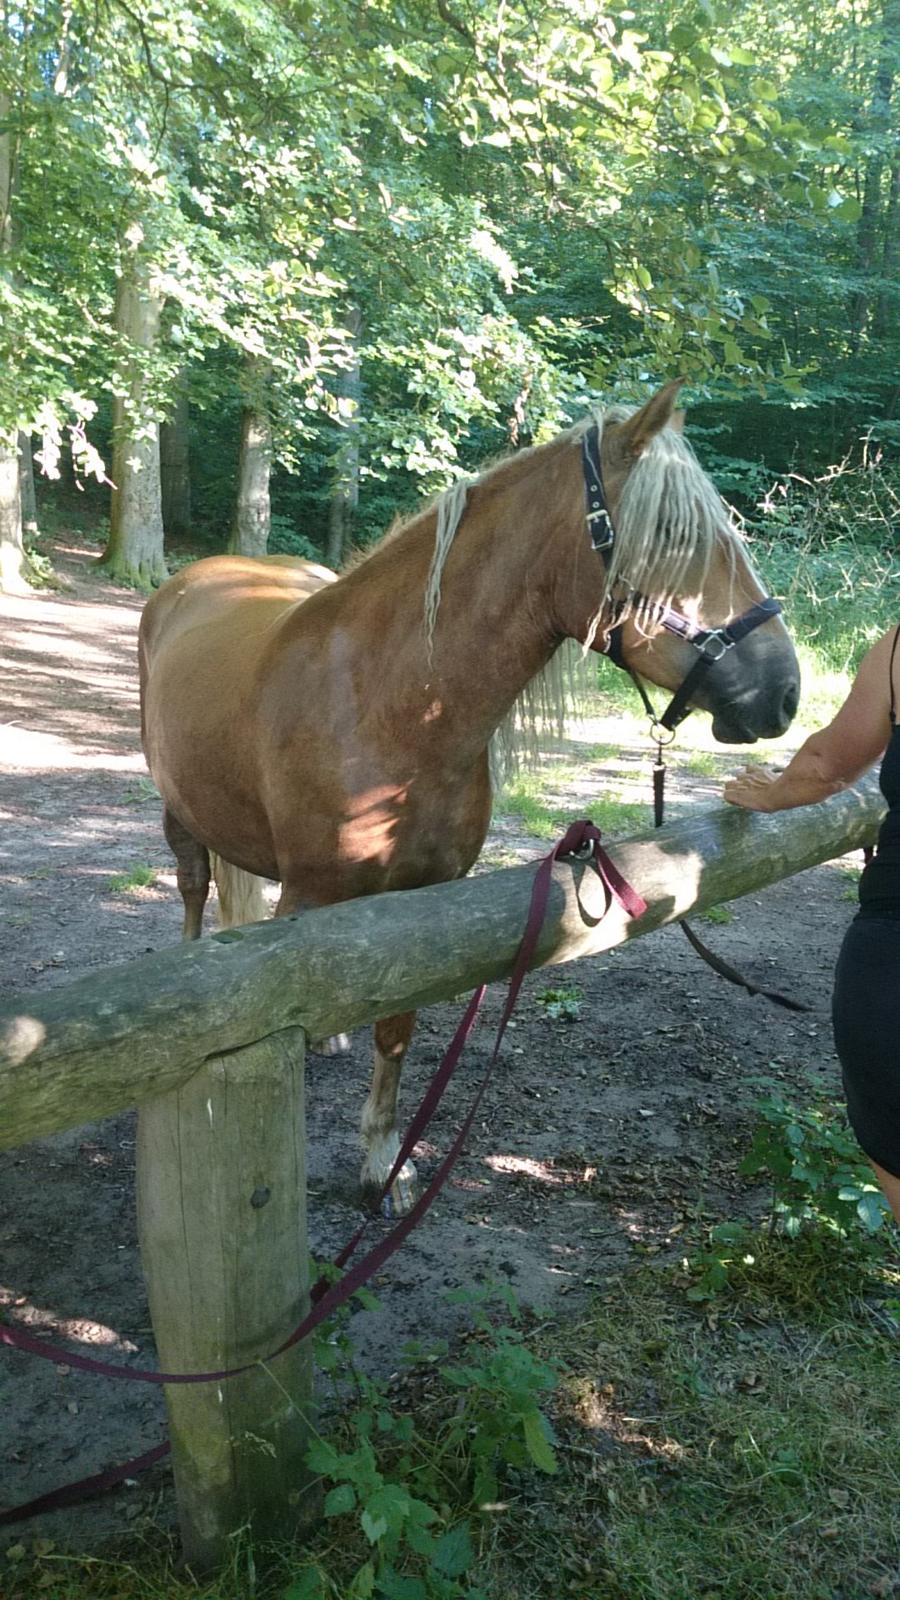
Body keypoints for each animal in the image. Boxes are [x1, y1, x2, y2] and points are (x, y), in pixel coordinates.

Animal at [140, 384, 797, 1209]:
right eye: (679, 539)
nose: (785, 692)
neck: (384, 702)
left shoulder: (425, 904)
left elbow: (395, 1030)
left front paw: (382, 1164)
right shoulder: (315, 890)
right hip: (179, 813)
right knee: (196, 890)